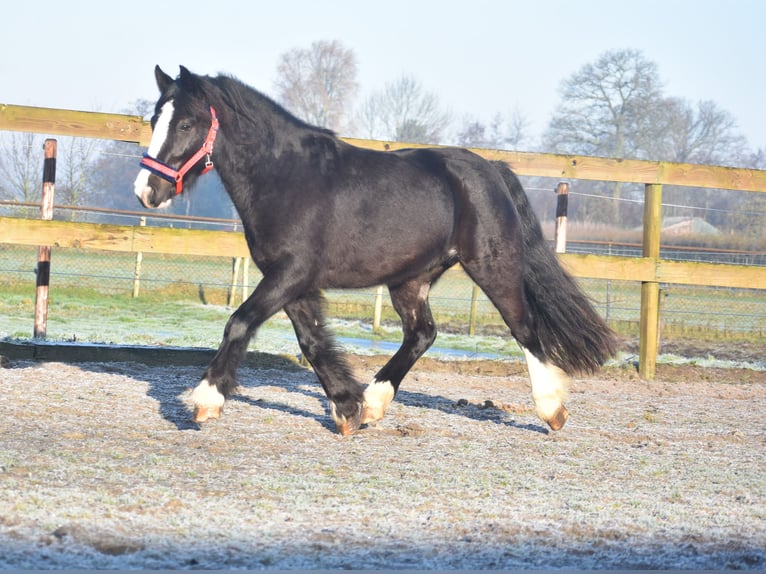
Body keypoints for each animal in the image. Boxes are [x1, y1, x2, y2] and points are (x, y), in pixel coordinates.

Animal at [136, 66, 616, 436]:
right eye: (154, 118)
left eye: (185, 124)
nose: (146, 191)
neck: (286, 177)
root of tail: (491, 170)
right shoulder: (292, 281)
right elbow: (312, 341)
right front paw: (349, 409)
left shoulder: (290, 273)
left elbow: (239, 323)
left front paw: (206, 401)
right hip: (411, 280)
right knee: (422, 334)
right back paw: (376, 401)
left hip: (492, 267)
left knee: (524, 328)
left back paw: (552, 411)